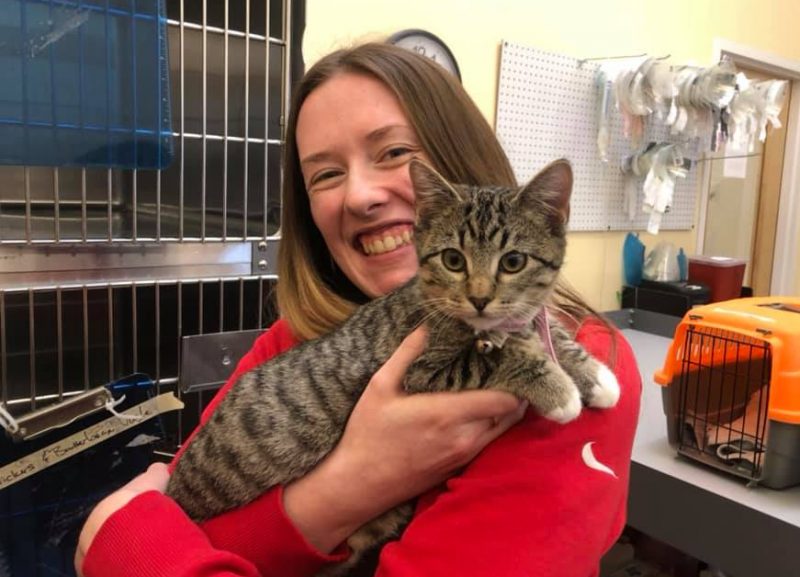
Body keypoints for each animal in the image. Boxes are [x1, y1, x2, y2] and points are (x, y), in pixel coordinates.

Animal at [167, 159, 620, 576]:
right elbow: (492, 355)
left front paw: (595, 375)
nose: (479, 299)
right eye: (453, 259)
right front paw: (557, 389)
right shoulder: (423, 371)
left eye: (512, 262)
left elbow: (545, 329)